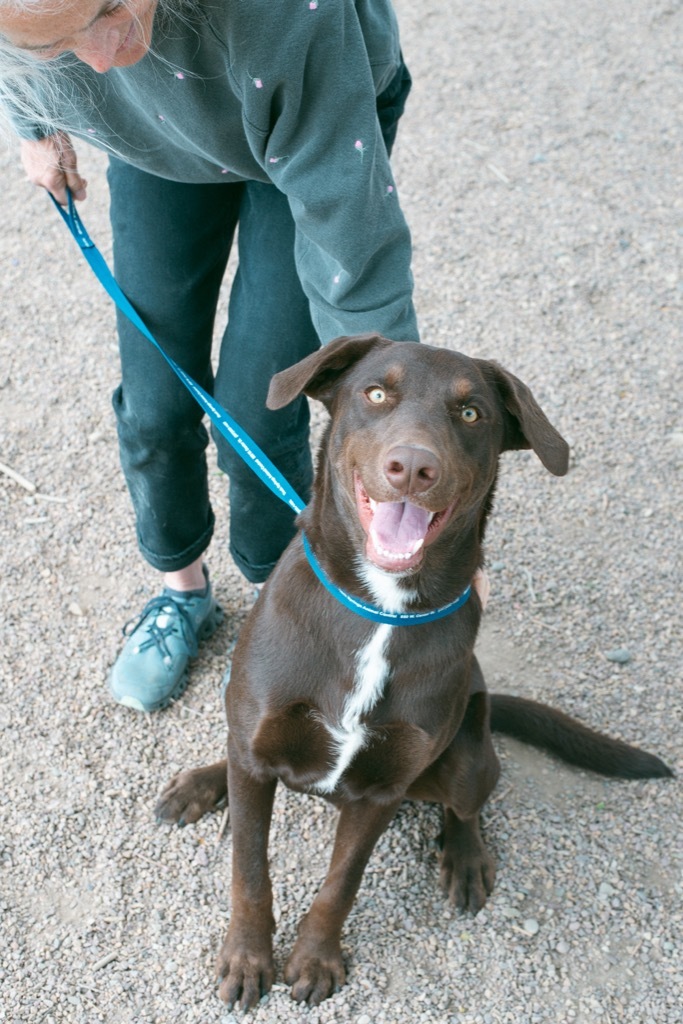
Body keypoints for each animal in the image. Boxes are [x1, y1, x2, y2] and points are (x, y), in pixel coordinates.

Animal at [156, 335, 671, 1007]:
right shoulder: (260, 751)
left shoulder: (382, 790)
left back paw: (467, 858)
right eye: (376, 393)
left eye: (471, 413)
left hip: (466, 755)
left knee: (468, 803)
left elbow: (339, 886)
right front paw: (247, 957)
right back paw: (200, 782)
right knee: (240, 753)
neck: (383, 608)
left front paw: (316, 959)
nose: (413, 467)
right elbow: (250, 871)